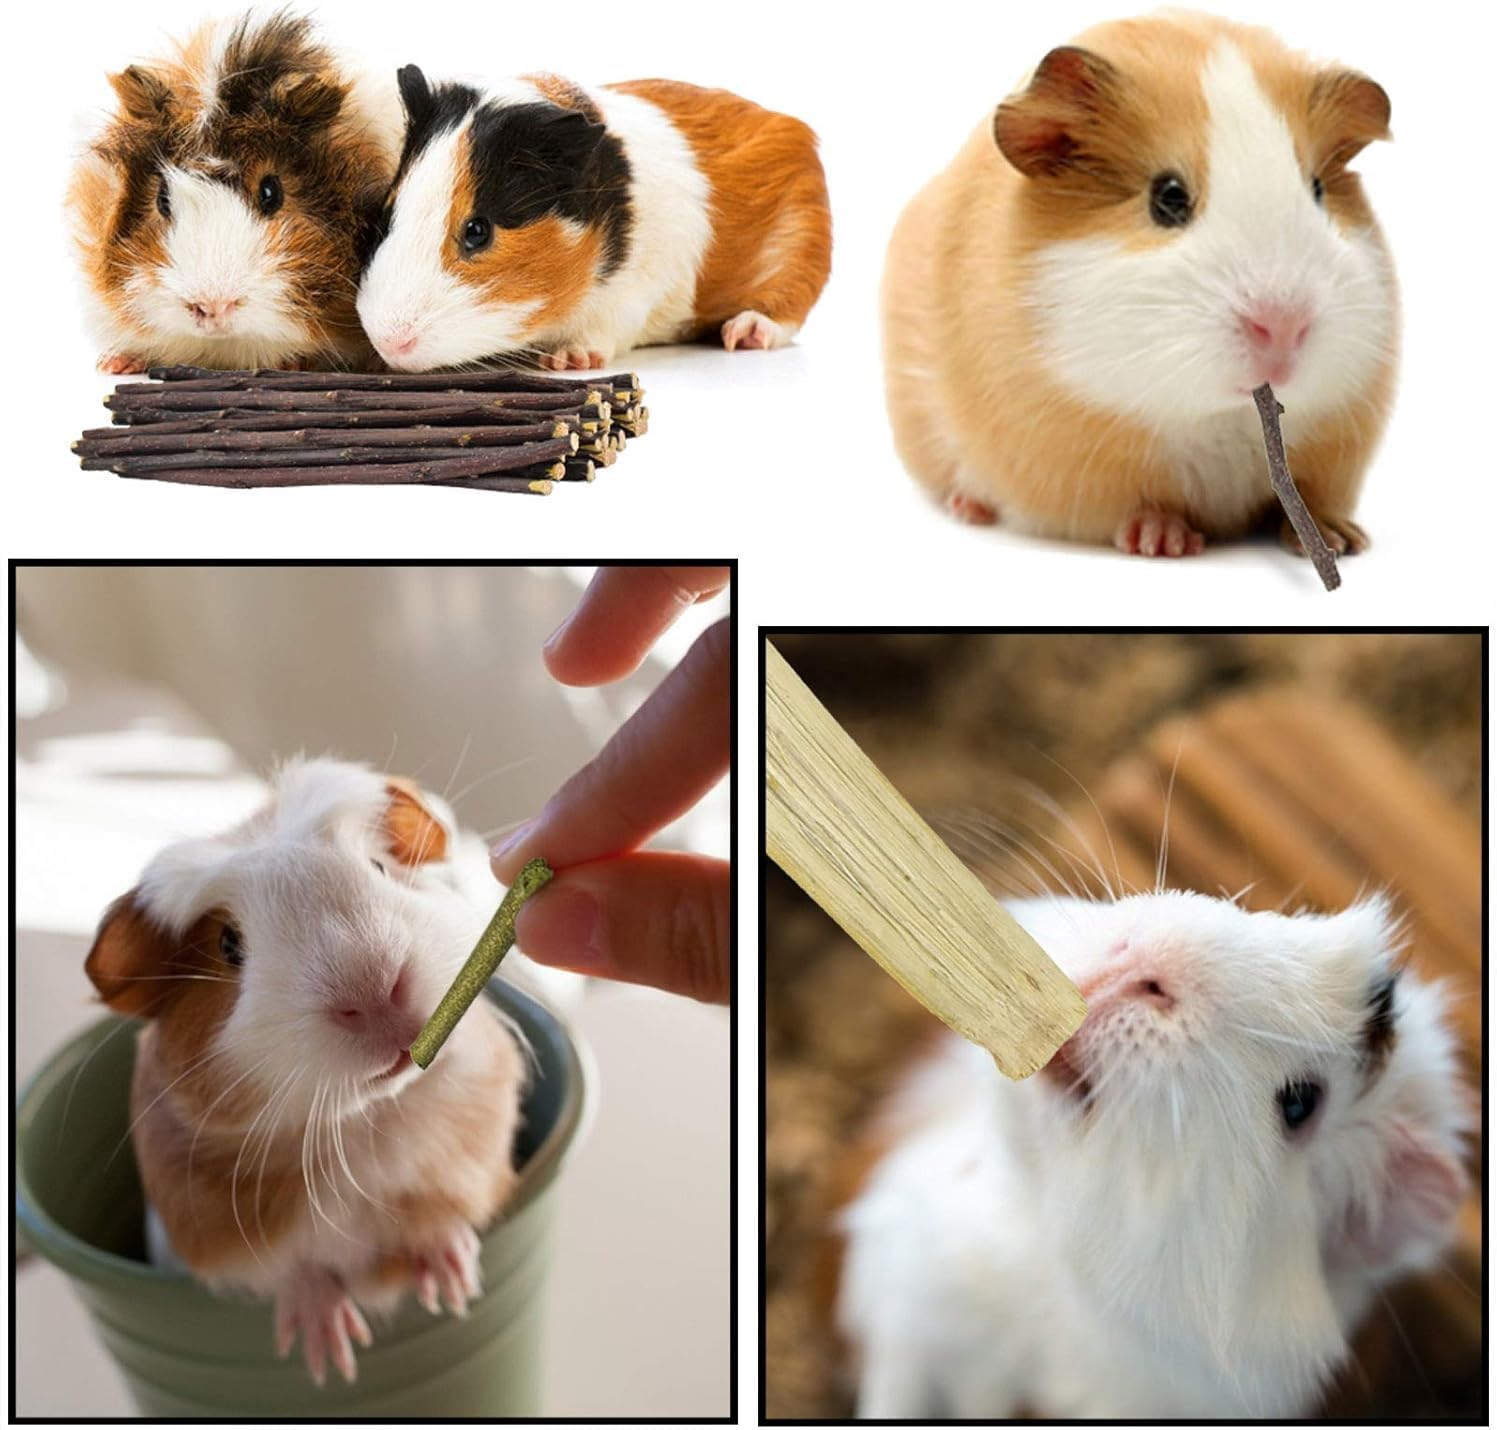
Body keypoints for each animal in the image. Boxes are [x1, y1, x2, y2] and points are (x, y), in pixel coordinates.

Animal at [84, 757, 527, 1386]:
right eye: (229, 945)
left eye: (378, 867)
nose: (374, 987)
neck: (361, 1130)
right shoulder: (212, 1242)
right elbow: (289, 1271)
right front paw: (333, 1357)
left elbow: (441, 1213)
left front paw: (456, 1287)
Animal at [355, 68, 832, 372]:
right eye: (388, 212)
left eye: (478, 230)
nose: (389, 342)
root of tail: (797, 131)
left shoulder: (629, 297)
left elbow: (602, 330)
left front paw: (567, 361)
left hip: (800, 259)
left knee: (786, 315)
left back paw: (743, 334)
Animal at [882, 13, 1396, 557]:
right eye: (1167, 198)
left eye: (1317, 190)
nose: (1283, 326)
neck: (1219, 418)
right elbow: (1140, 506)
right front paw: (1166, 543)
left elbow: (1311, 500)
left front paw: (1342, 539)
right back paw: (970, 508)